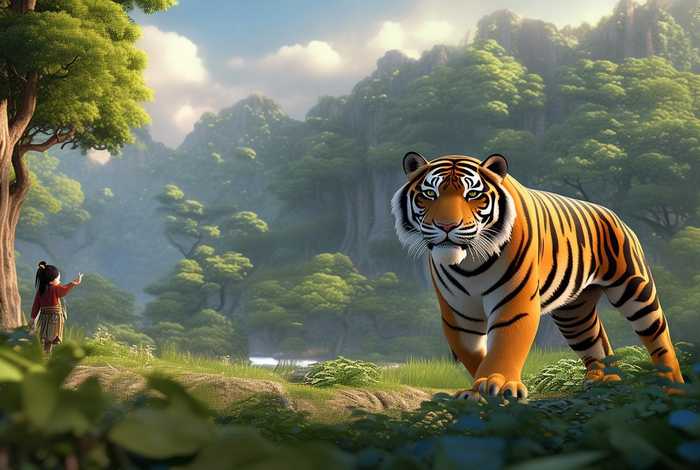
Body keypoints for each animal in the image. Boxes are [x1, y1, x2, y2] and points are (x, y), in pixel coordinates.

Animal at [391, 151, 685, 400]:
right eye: (429, 194)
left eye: (473, 194)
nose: (447, 226)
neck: (469, 263)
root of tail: (614, 214)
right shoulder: (459, 314)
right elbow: (473, 353)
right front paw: (477, 390)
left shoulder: (514, 302)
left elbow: (505, 342)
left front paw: (497, 383)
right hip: (574, 314)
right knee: (596, 341)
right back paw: (606, 381)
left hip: (635, 291)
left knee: (660, 338)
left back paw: (672, 386)